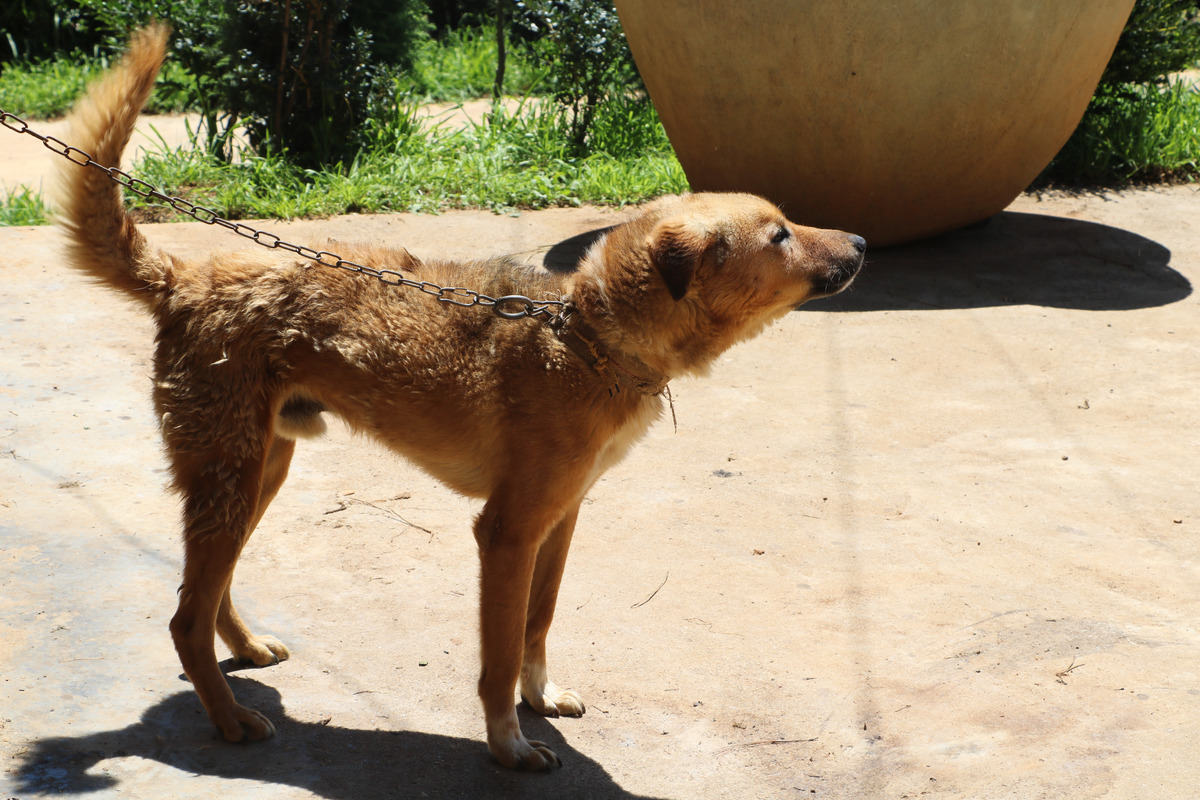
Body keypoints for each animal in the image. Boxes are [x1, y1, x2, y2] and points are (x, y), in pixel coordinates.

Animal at [54, 25, 864, 772]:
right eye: (780, 235)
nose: (859, 243)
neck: (586, 336)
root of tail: (182, 280)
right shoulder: (504, 533)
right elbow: (498, 656)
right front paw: (509, 743)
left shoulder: (559, 519)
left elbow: (538, 624)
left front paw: (540, 698)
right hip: (229, 477)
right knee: (183, 618)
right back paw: (228, 721)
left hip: (257, 472)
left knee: (206, 590)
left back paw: (246, 648)